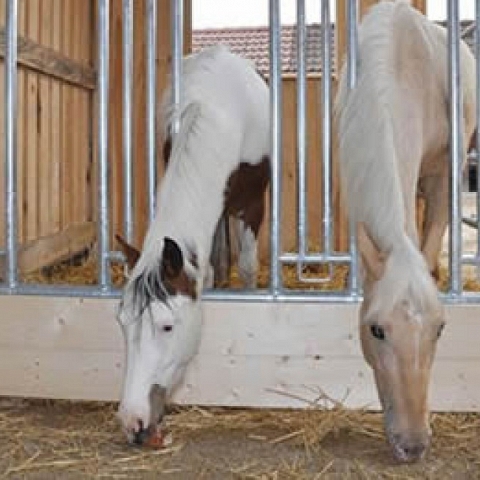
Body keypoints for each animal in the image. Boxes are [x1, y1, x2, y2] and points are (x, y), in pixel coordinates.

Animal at [114, 47, 268, 444]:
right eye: (123, 322)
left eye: (168, 327)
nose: (134, 422)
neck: (215, 108)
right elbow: (208, 270)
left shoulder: (252, 204)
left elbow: (247, 267)